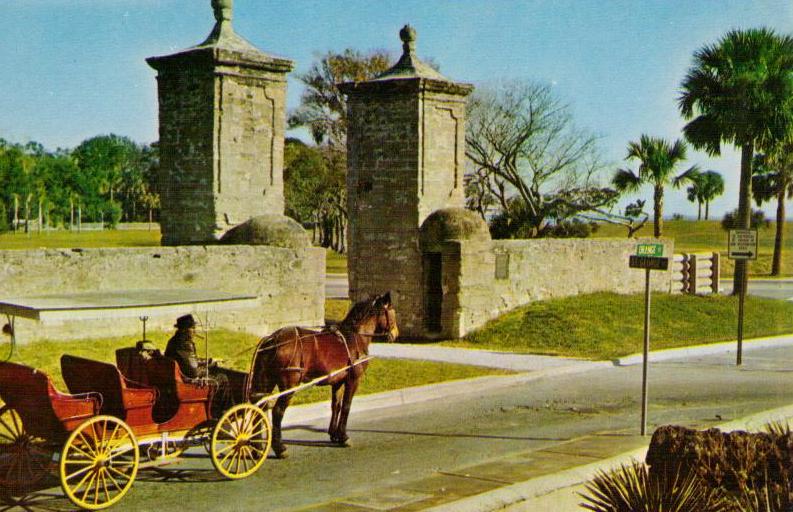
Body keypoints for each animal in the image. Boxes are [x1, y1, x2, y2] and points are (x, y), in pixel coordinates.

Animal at [252, 294, 400, 458]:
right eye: (392, 312)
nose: (395, 334)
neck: (355, 337)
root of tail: (272, 339)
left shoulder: (338, 381)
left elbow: (336, 406)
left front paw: (334, 435)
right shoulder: (353, 380)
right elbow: (346, 406)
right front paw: (344, 437)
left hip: (267, 381)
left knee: (259, 408)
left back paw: (257, 448)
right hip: (289, 384)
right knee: (277, 411)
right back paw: (280, 448)